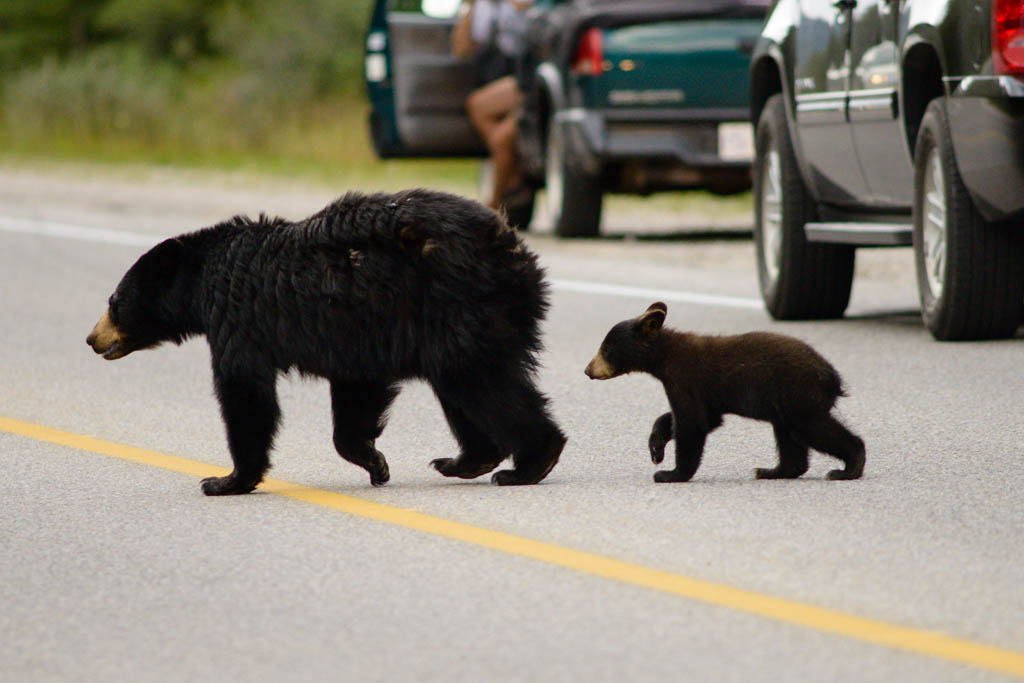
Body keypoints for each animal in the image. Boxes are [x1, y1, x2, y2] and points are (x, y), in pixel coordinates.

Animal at [86, 189, 569, 493]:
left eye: (114, 300)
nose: (91, 338)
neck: (203, 277)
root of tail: (516, 251)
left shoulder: (238, 320)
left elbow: (245, 393)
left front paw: (227, 480)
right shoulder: (356, 336)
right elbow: (357, 392)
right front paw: (375, 463)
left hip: (460, 307)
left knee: (480, 384)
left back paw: (530, 462)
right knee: (463, 387)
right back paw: (466, 460)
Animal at [585, 301, 864, 483]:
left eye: (606, 348)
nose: (588, 370)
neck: (665, 356)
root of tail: (832, 375)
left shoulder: (685, 378)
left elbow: (692, 423)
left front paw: (670, 474)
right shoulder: (699, 393)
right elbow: (696, 418)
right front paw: (656, 448)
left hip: (799, 395)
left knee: (813, 428)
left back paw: (848, 468)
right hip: (786, 402)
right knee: (789, 438)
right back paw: (772, 471)